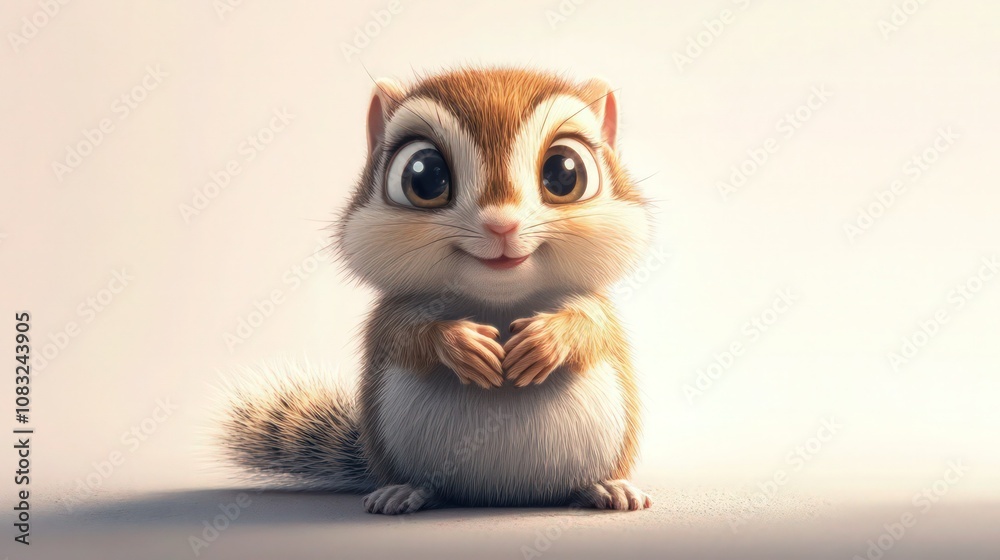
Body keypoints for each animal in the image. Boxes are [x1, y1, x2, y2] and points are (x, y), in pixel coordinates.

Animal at [219, 67, 654, 514]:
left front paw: (548, 340)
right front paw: (459, 344)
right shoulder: (389, 317)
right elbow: (404, 337)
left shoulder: (597, 309)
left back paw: (606, 487)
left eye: (565, 173)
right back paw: (403, 491)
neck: (498, 299)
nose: (501, 225)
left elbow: (594, 329)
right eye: (424, 176)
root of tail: (501, 494)